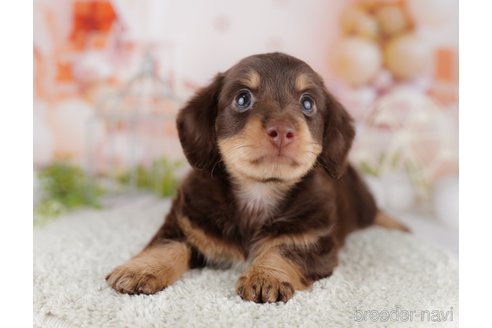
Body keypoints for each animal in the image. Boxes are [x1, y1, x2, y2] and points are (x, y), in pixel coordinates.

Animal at [106, 52, 408, 304]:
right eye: (242, 98)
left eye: (308, 103)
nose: (282, 131)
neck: (259, 190)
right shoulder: (185, 225)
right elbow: (166, 246)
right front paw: (140, 269)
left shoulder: (313, 241)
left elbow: (282, 251)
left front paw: (265, 277)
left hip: (363, 205)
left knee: (377, 213)